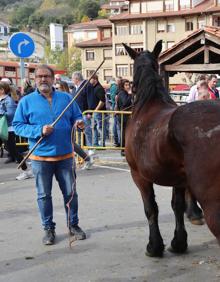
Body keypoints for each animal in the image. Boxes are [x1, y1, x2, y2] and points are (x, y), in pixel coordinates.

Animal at [123, 40, 220, 256]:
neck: (149, 104)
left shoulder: (139, 176)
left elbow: (151, 208)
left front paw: (154, 246)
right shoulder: (179, 179)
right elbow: (177, 206)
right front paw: (179, 242)